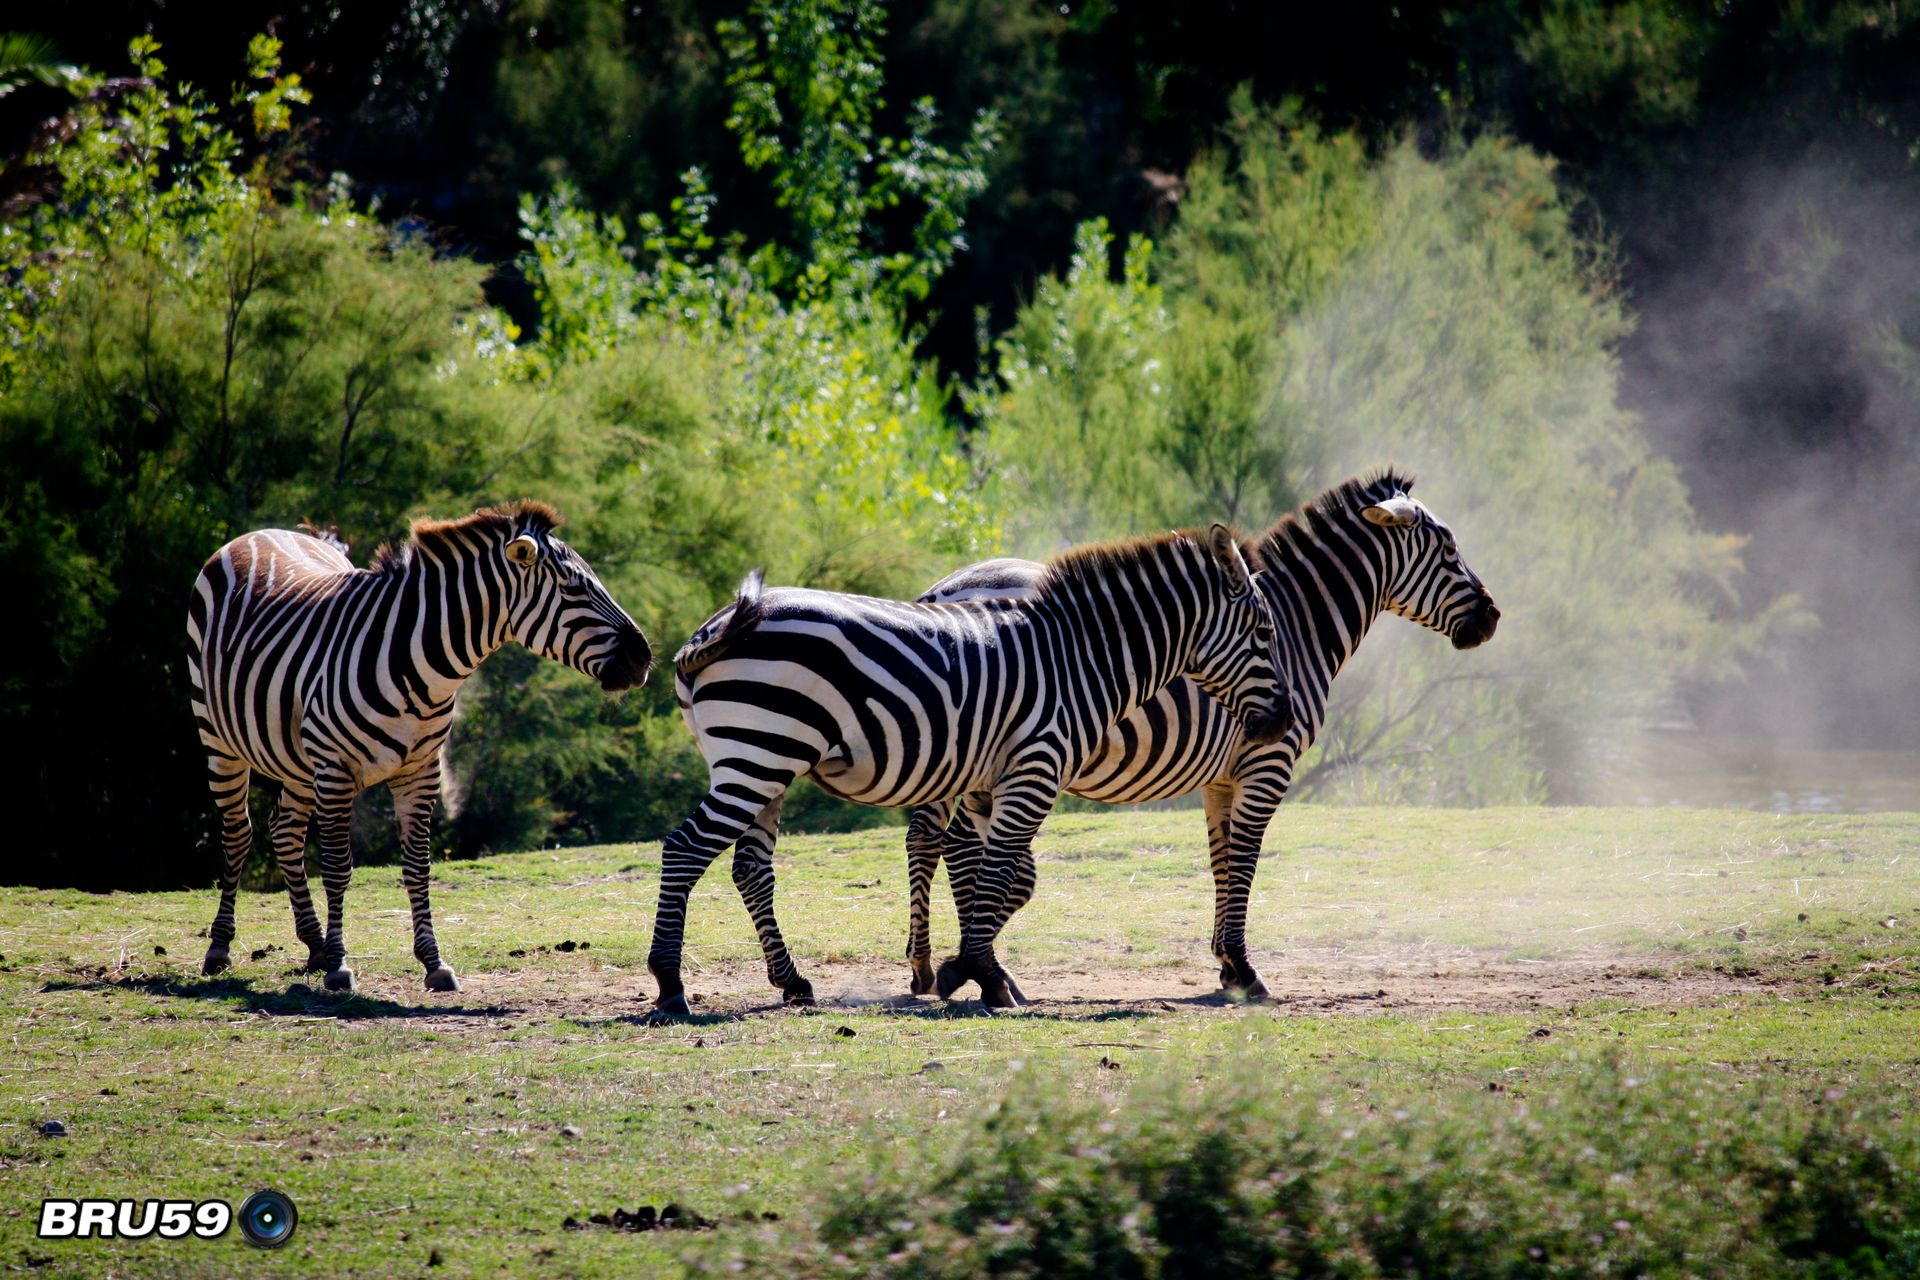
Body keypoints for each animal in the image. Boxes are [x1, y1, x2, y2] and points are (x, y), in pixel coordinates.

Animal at [189, 506, 652, 997]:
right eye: (574, 589)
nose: (643, 658)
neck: (419, 666)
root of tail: (259, 533)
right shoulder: (336, 769)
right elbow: (337, 867)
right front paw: (340, 965)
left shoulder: (420, 771)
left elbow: (418, 867)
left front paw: (433, 962)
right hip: (219, 737)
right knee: (239, 834)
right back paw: (221, 948)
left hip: (298, 760)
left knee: (285, 831)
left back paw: (313, 945)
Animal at [645, 525, 1290, 1013]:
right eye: (1265, 632)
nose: (1283, 723)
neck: (1081, 659)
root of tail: (713, 628)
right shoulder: (1037, 766)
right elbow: (999, 869)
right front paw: (974, 970)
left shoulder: (992, 776)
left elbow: (990, 871)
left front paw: (966, 970)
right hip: (759, 753)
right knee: (685, 849)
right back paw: (670, 986)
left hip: (760, 762)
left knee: (750, 867)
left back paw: (792, 983)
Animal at [902, 470, 1497, 997]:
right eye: (1448, 548)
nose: (1492, 619)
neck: (1298, 625)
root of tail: (940, 588)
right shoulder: (1269, 762)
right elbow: (1247, 858)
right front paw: (1243, 969)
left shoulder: (1222, 776)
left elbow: (1222, 860)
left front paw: (1227, 964)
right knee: (956, 844)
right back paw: (971, 966)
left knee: (933, 838)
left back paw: (931, 965)